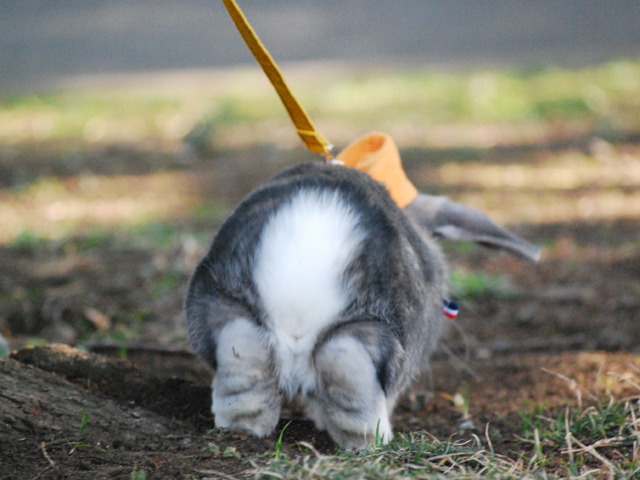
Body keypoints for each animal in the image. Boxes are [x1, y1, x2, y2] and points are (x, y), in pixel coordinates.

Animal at [185, 161, 539, 449]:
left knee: (242, 351)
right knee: (348, 363)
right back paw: (370, 441)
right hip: (382, 329)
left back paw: (244, 426)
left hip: (222, 305)